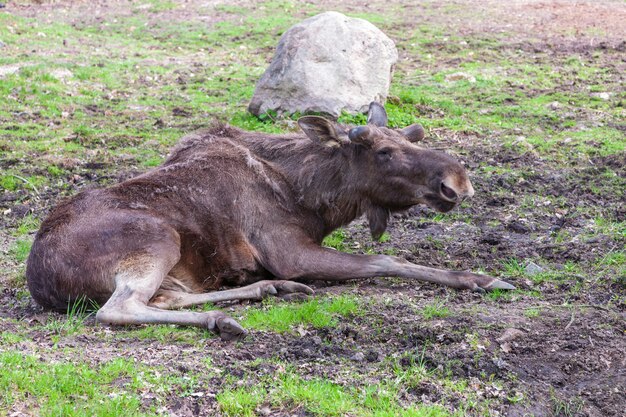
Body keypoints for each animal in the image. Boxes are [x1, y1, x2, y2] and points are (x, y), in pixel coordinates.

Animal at [25, 102, 512, 340]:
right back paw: (224, 320)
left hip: (168, 266)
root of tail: (39, 281)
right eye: (384, 151)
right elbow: (386, 261)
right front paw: (482, 279)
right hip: (157, 238)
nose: (457, 181)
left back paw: (265, 290)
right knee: (118, 309)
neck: (311, 198)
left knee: (165, 299)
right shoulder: (289, 251)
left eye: (411, 137)